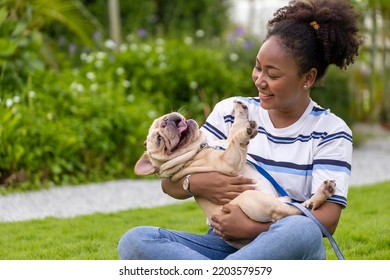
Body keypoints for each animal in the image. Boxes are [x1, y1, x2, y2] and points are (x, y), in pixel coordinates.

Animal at [135, 100, 336, 247]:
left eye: (162, 119)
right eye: (159, 139)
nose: (166, 121)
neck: (199, 148)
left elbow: (233, 130)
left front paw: (240, 111)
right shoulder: (228, 161)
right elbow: (235, 140)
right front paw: (246, 132)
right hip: (253, 199)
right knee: (291, 212)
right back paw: (319, 195)